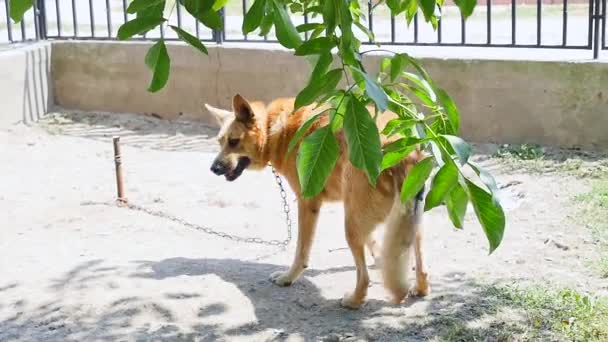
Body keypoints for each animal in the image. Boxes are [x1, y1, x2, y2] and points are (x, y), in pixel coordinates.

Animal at [207, 95, 430, 308]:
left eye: (234, 141)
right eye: (220, 142)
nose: (213, 169)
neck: (273, 129)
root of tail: (402, 149)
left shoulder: (307, 203)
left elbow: (301, 251)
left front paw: (288, 278)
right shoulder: (360, 214)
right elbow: (375, 244)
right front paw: (381, 259)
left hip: (351, 226)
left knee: (364, 276)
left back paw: (355, 300)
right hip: (404, 219)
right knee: (419, 259)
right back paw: (419, 287)